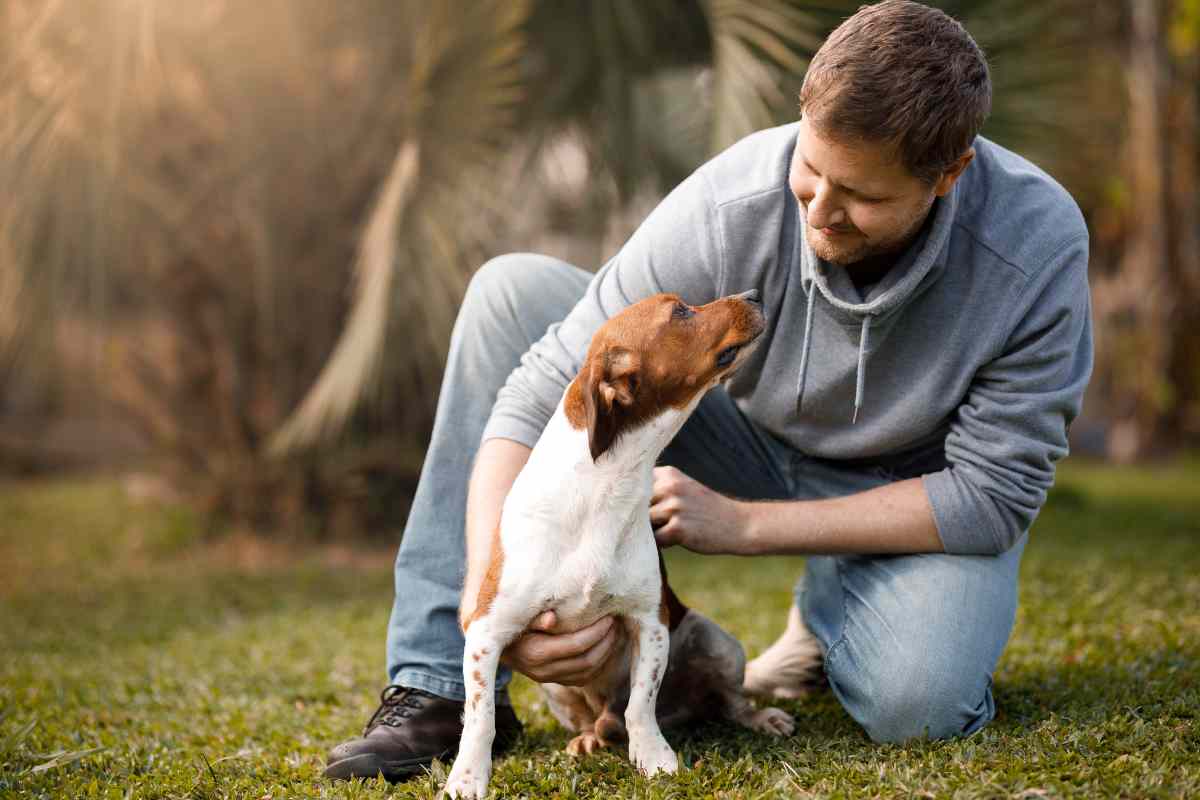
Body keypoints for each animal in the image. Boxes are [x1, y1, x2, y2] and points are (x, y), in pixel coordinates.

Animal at [446, 291, 792, 796]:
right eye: (680, 311)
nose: (754, 295)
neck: (604, 490)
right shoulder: (486, 634)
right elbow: (480, 719)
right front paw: (468, 777)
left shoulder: (649, 622)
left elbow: (640, 706)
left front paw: (654, 757)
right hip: (554, 687)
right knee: (593, 720)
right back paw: (589, 738)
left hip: (718, 643)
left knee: (727, 703)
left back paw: (759, 718)